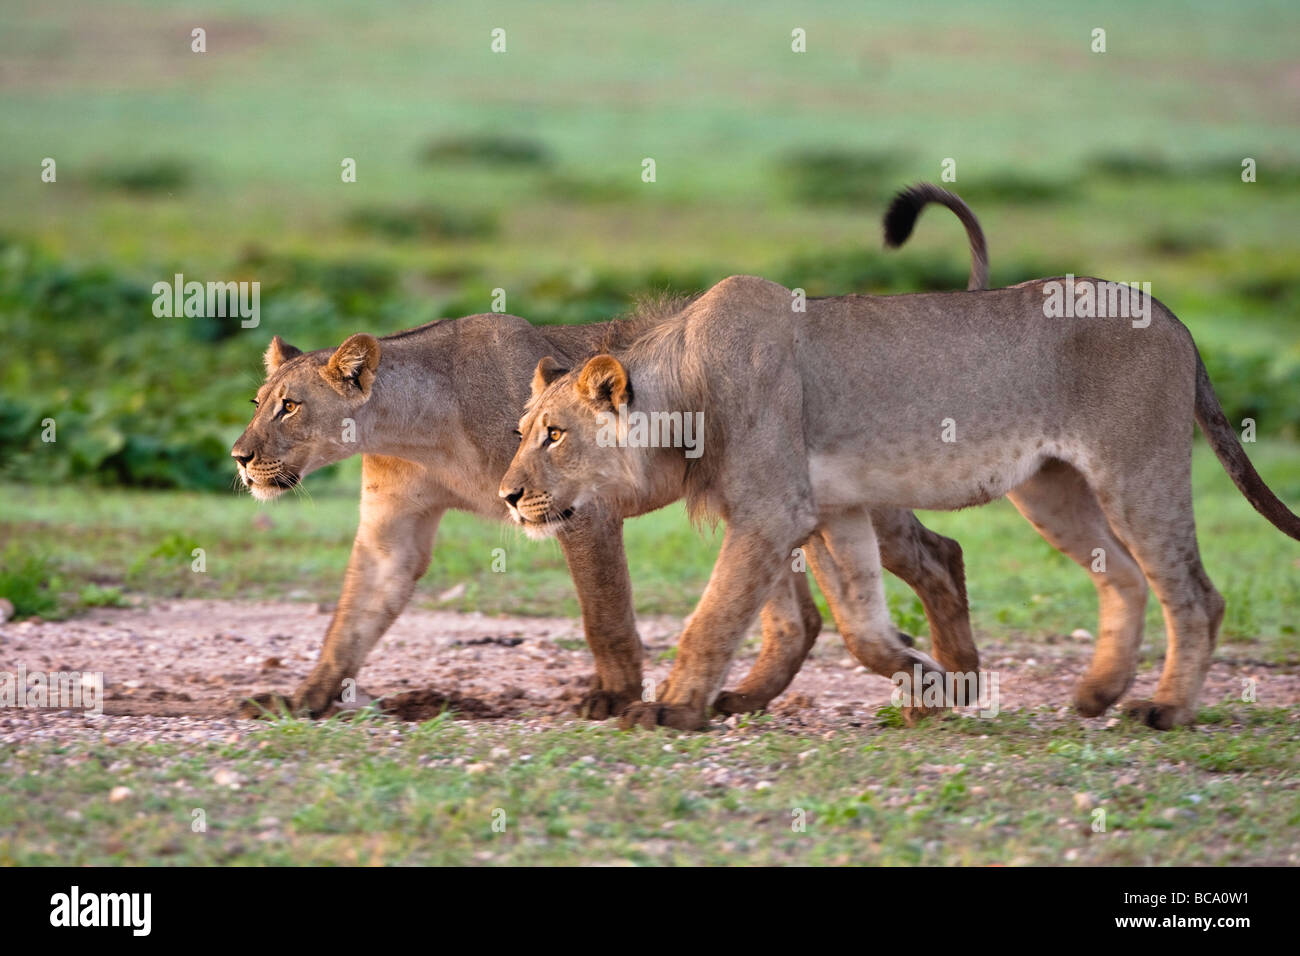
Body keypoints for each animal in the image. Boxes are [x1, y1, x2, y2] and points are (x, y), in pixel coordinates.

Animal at [233, 183, 987, 723]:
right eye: (257, 401)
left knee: (939, 552)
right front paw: (302, 699)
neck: (415, 430)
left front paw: (616, 698)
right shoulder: (394, 526)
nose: (239, 457)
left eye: (289, 407)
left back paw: (954, 684)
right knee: (798, 617)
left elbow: (605, 615)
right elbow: (351, 620)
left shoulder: (578, 507)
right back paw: (746, 699)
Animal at [501, 214, 1300, 733]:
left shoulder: (773, 511)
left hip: (1137, 471)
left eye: (554, 435)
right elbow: (862, 628)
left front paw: (670, 708)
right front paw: (936, 686)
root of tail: (1172, 315)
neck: (684, 393)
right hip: (1050, 488)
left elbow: (714, 617)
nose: (509, 495)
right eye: (519, 432)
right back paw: (1096, 696)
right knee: (1124, 577)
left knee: (1195, 594)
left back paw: (1165, 708)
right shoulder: (832, 511)